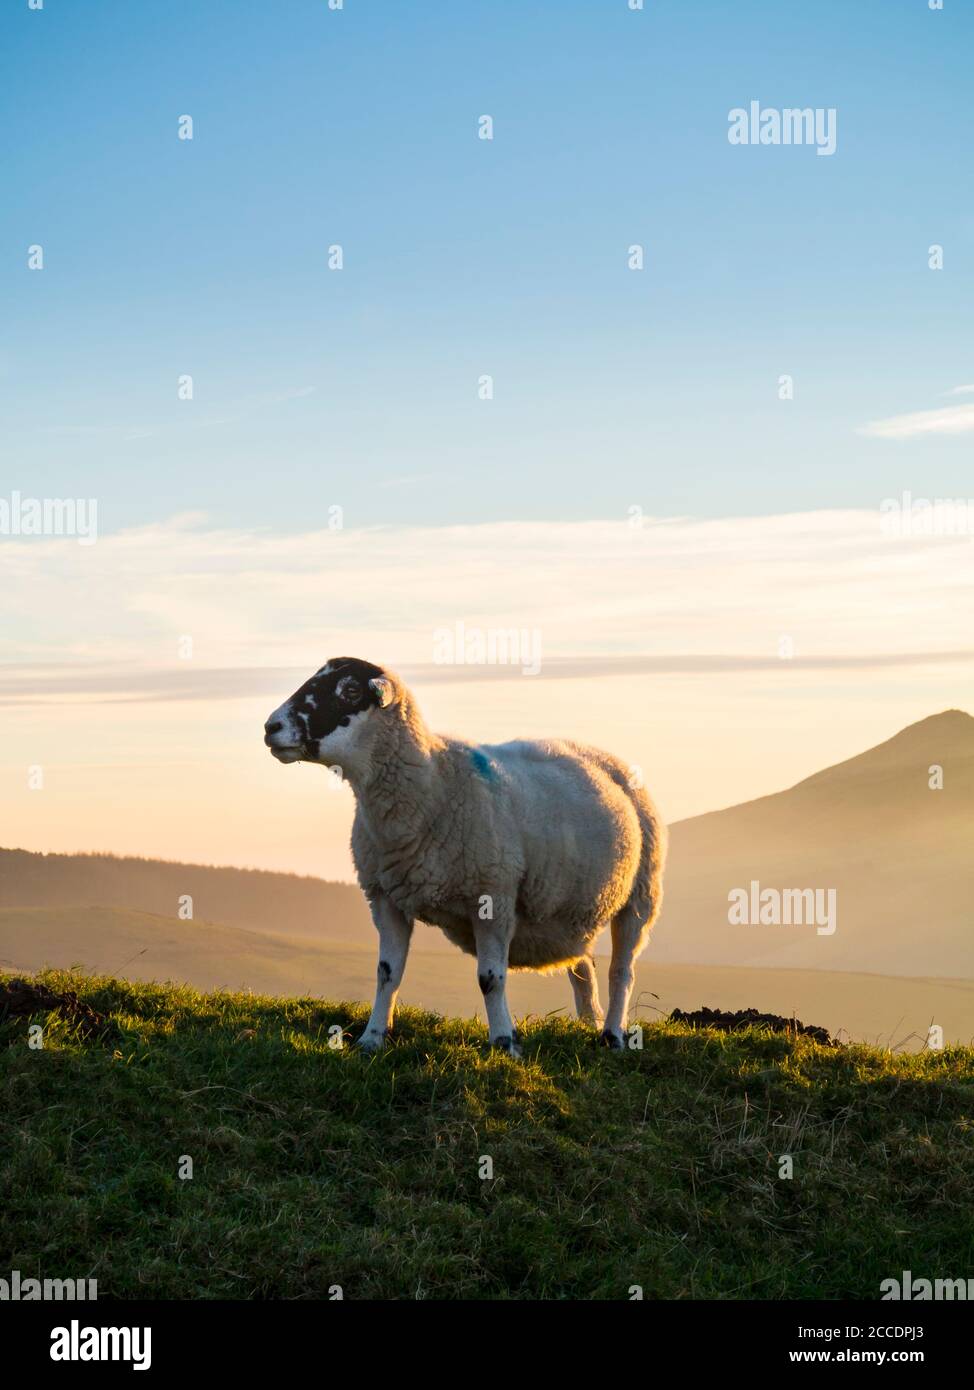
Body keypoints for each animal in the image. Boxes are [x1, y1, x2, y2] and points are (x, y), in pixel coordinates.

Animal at [262, 658, 664, 1050]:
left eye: (349, 691)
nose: (270, 727)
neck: (432, 781)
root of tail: (598, 754)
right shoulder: (385, 897)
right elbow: (387, 974)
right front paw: (372, 1037)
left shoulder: (493, 896)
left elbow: (490, 978)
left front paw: (503, 1041)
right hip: (573, 910)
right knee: (583, 968)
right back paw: (588, 1022)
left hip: (641, 895)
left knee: (621, 971)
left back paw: (612, 1035)